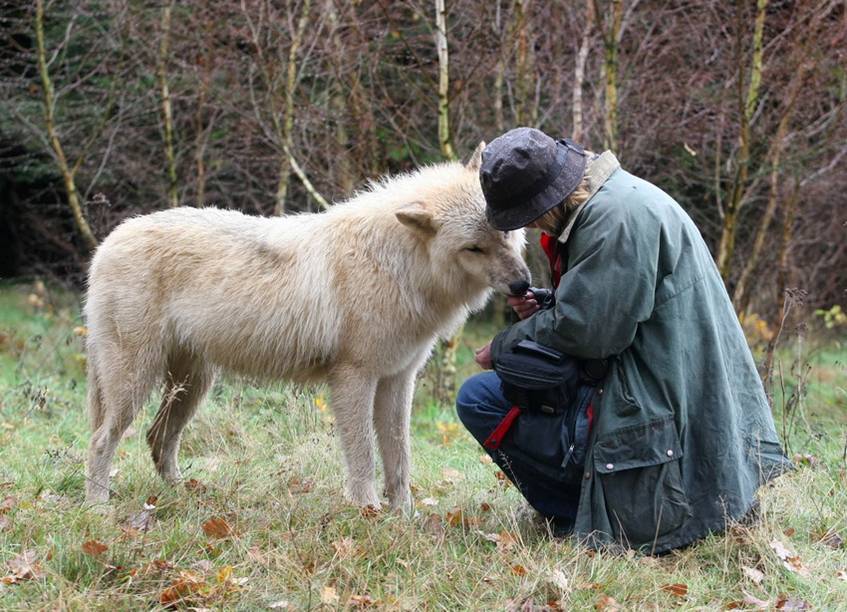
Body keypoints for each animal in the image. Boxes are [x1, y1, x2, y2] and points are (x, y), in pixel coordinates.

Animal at [83, 144, 530, 511]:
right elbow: (364, 458)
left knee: (157, 438)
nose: (523, 284)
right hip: (138, 382)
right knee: (102, 439)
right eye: (473, 248)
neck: (398, 267)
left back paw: (188, 496)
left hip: (193, 385)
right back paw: (98, 506)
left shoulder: (398, 380)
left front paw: (403, 519)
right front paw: (367, 513)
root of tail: (107, 243)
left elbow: (400, 461)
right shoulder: (354, 379)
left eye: (505, 232)